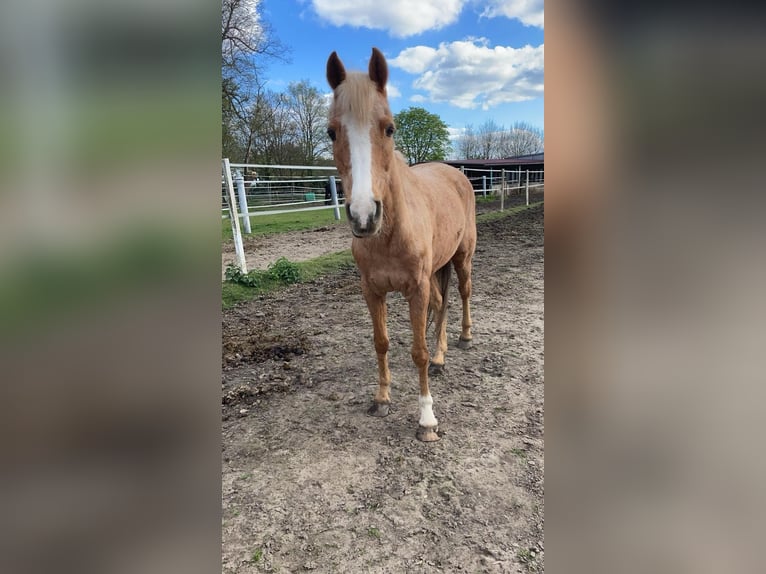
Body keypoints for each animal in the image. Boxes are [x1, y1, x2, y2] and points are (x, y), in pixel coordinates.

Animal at [326, 49, 476, 446]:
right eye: (331, 131)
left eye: (389, 128)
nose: (364, 216)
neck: (390, 234)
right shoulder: (372, 290)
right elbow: (382, 342)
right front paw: (382, 398)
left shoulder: (416, 288)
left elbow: (418, 351)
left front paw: (427, 419)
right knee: (441, 304)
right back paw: (441, 358)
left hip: (462, 258)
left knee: (463, 294)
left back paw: (464, 338)